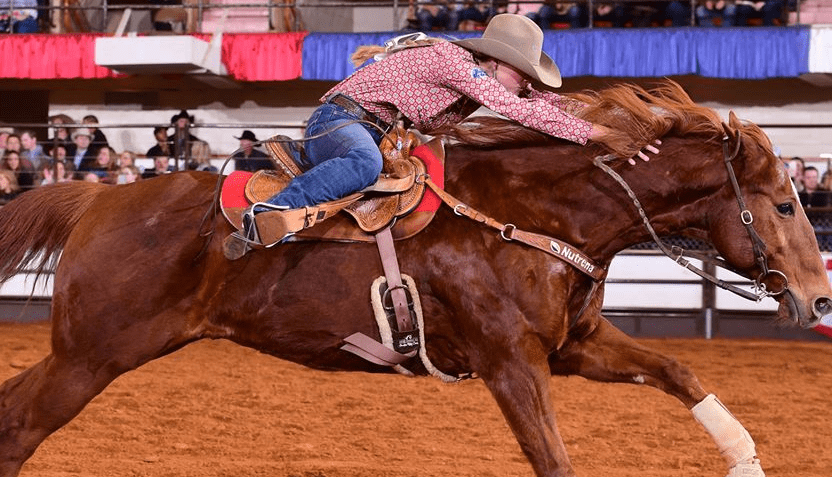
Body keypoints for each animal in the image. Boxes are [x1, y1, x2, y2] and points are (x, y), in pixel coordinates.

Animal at [1, 82, 832, 476]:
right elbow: (553, 456)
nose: (819, 296)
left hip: (87, 352)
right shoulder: (511, 362)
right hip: (92, 355)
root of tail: (100, 198)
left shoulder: (575, 346)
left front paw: (746, 457)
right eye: (784, 202)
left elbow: (677, 368)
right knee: (22, 424)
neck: (534, 214)